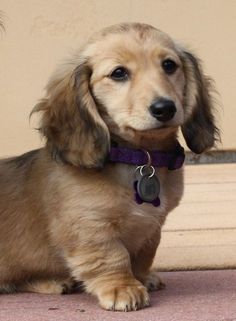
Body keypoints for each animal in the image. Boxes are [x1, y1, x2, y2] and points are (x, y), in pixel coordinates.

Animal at [0, 23, 218, 310]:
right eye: (118, 73)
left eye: (169, 65)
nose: (165, 108)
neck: (139, 159)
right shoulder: (89, 226)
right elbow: (112, 256)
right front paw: (122, 287)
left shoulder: (153, 226)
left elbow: (145, 252)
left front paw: (143, 277)